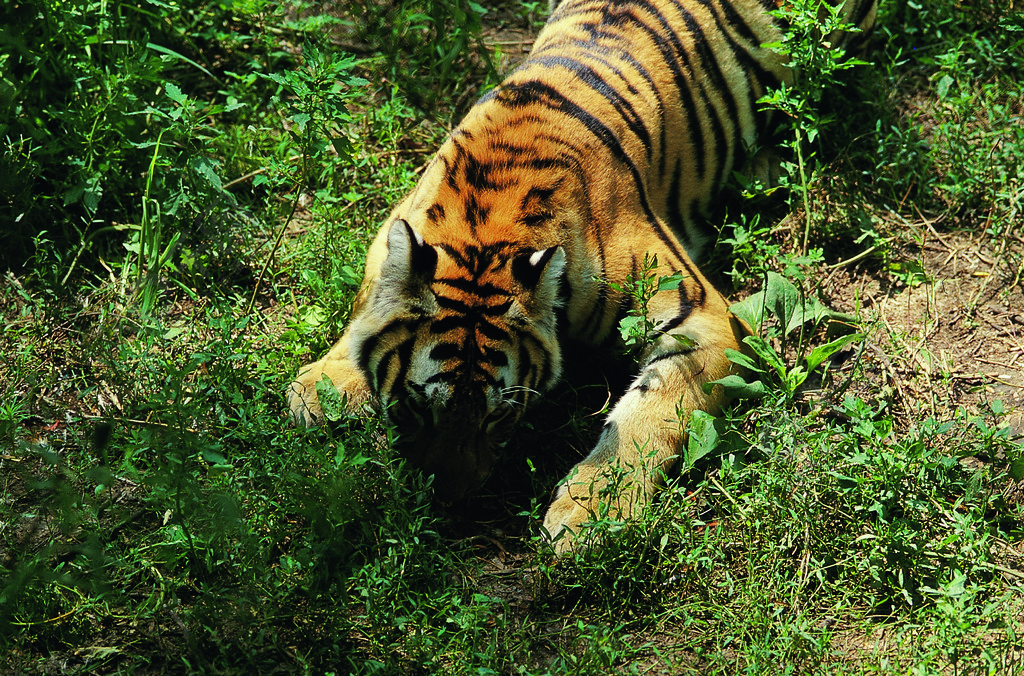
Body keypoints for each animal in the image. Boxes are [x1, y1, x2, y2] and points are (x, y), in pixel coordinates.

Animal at [288, 0, 880, 553]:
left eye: (501, 417)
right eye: (417, 409)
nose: (452, 506)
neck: (487, 221)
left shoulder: (701, 314)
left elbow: (649, 409)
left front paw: (593, 512)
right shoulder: (398, 220)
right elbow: (370, 300)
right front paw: (321, 386)